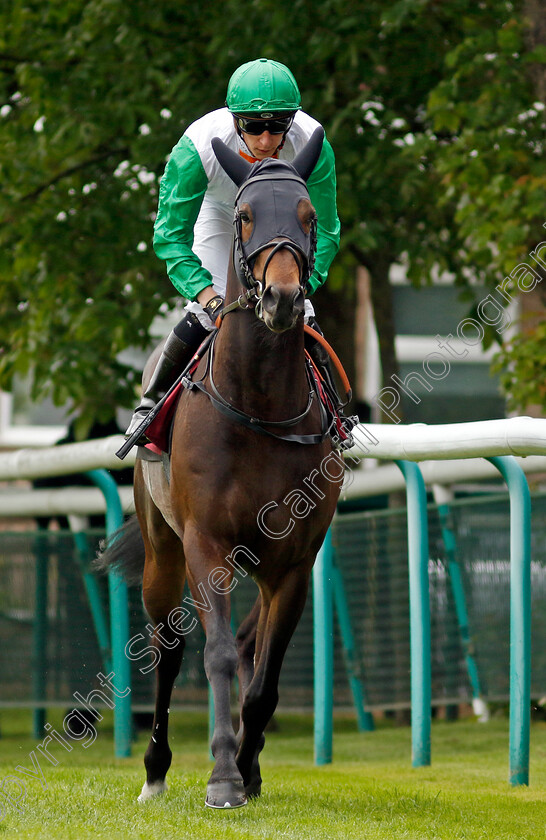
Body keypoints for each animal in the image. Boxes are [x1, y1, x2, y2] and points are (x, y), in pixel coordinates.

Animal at [99, 130, 340, 808]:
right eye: (245, 215)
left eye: (308, 216)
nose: (283, 299)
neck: (259, 404)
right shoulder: (206, 545)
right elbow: (220, 659)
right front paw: (224, 777)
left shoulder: (293, 562)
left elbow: (265, 675)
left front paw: (250, 771)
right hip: (162, 549)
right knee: (170, 647)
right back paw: (155, 770)